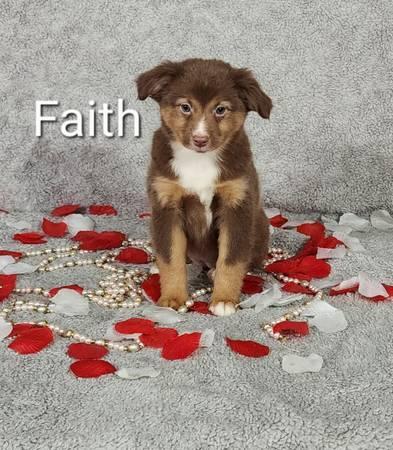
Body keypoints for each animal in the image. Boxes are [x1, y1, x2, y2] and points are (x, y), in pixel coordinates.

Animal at [135, 57, 270, 316]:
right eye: (185, 107)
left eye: (220, 109)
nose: (200, 140)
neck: (198, 161)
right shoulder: (166, 204)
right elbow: (171, 258)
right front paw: (172, 298)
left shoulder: (237, 205)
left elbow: (231, 259)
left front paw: (224, 299)